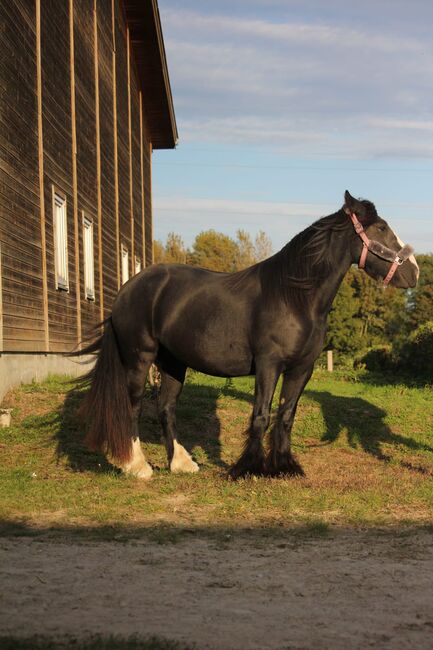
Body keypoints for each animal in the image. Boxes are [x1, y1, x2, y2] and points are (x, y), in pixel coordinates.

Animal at [75, 190, 418, 478]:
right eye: (381, 229)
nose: (413, 272)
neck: (294, 296)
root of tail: (128, 288)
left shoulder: (301, 369)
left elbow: (286, 415)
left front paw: (284, 466)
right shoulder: (268, 364)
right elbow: (261, 415)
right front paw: (247, 468)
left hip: (173, 362)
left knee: (166, 407)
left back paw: (182, 464)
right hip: (139, 358)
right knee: (132, 407)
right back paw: (137, 466)